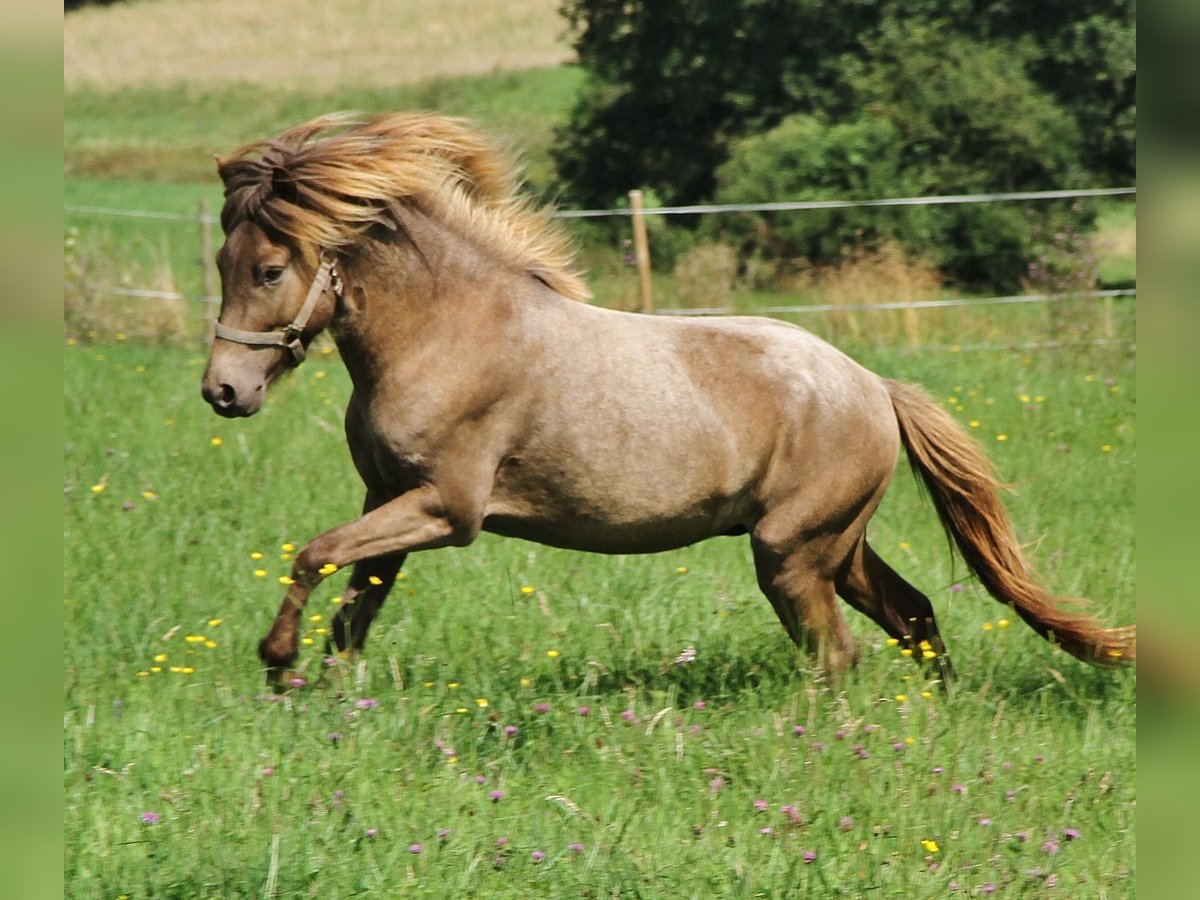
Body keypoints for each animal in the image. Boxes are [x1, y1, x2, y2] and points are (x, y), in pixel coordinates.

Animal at [204, 114, 1132, 691]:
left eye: (271, 269)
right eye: (220, 261)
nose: (223, 390)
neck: (450, 335)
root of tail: (875, 388)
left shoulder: (446, 508)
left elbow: (312, 555)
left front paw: (275, 660)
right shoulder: (387, 499)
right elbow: (354, 605)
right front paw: (320, 692)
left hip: (792, 553)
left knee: (838, 654)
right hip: (837, 547)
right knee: (914, 616)